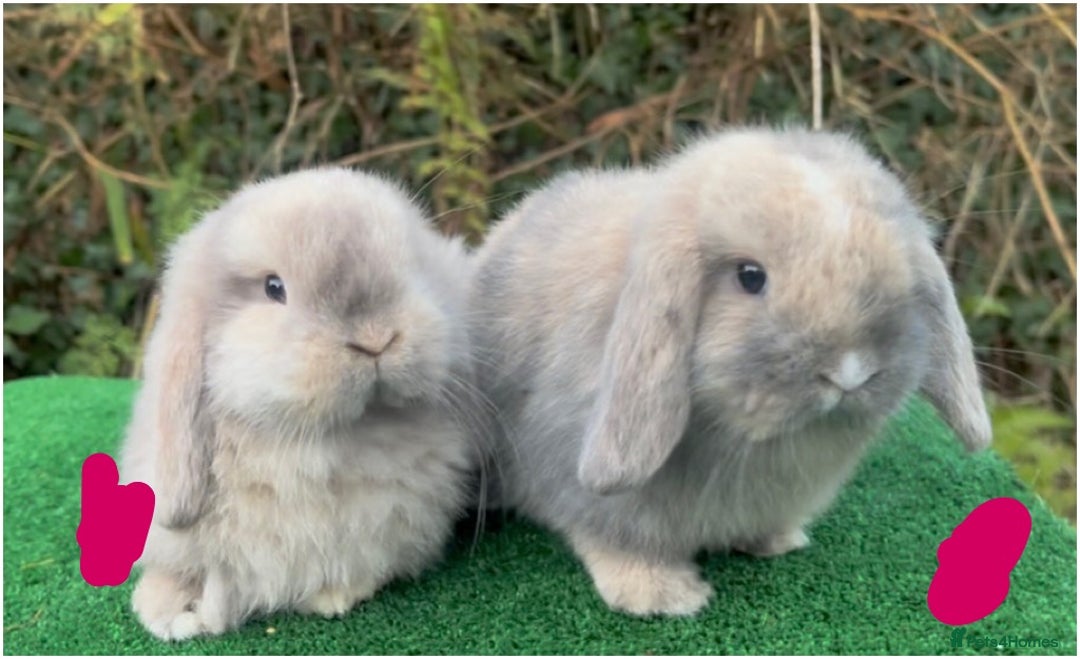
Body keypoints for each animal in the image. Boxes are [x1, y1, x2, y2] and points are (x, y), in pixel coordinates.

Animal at [120, 167, 482, 640]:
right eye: (274, 288)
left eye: (412, 266)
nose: (376, 339)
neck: (337, 440)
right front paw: (167, 612)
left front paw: (334, 597)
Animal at [469, 127, 992, 617]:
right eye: (750, 277)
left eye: (900, 274)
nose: (850, 372)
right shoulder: (593, 491)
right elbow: (617, 539)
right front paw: (662, 596)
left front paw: (776, 541)